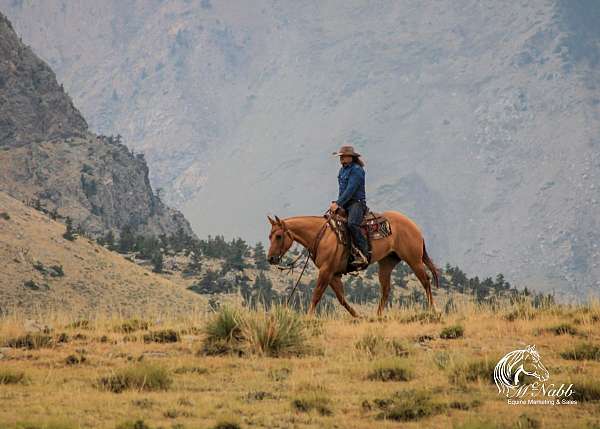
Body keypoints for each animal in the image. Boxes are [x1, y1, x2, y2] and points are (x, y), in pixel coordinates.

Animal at [268, 209, 440, 316]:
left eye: (278, 236)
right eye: (270, 236)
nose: (270, 259)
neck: (322, 235)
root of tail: (414, 226)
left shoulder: (326, 271)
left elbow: (317, 294)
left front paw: (308, 317)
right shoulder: (333, 274)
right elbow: (342, 299)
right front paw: (358, 316)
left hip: (414, 260)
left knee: (426, 281)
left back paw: (434, 309)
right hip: (387, 263)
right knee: (385, 290)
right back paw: (377, 316)